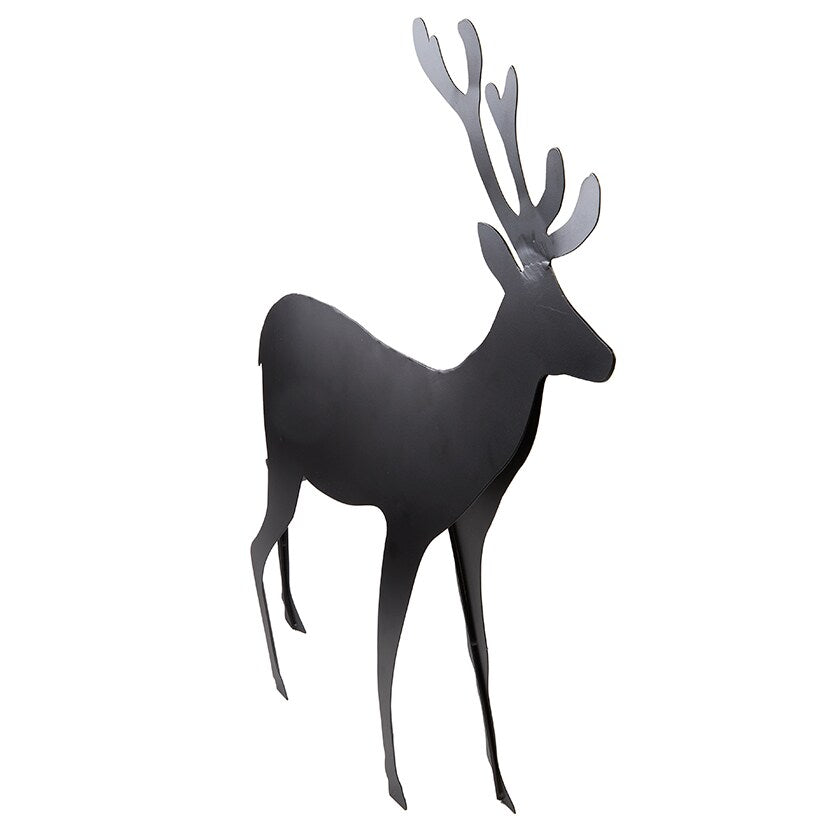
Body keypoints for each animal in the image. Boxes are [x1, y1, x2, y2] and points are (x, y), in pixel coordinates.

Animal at [251, 18, 614, 812]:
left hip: (288, 461)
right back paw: (278, 676)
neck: (473, 438)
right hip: (280, 456)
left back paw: (296, 617)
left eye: (569, 294)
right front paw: (395, 782)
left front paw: (504, 786)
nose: (609, 357)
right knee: (253, 542)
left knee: (279, 533)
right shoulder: (409, 514)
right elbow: (386, 640)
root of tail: (263, 322)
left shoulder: (466, 521)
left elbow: (480, 642)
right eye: (547, 306)